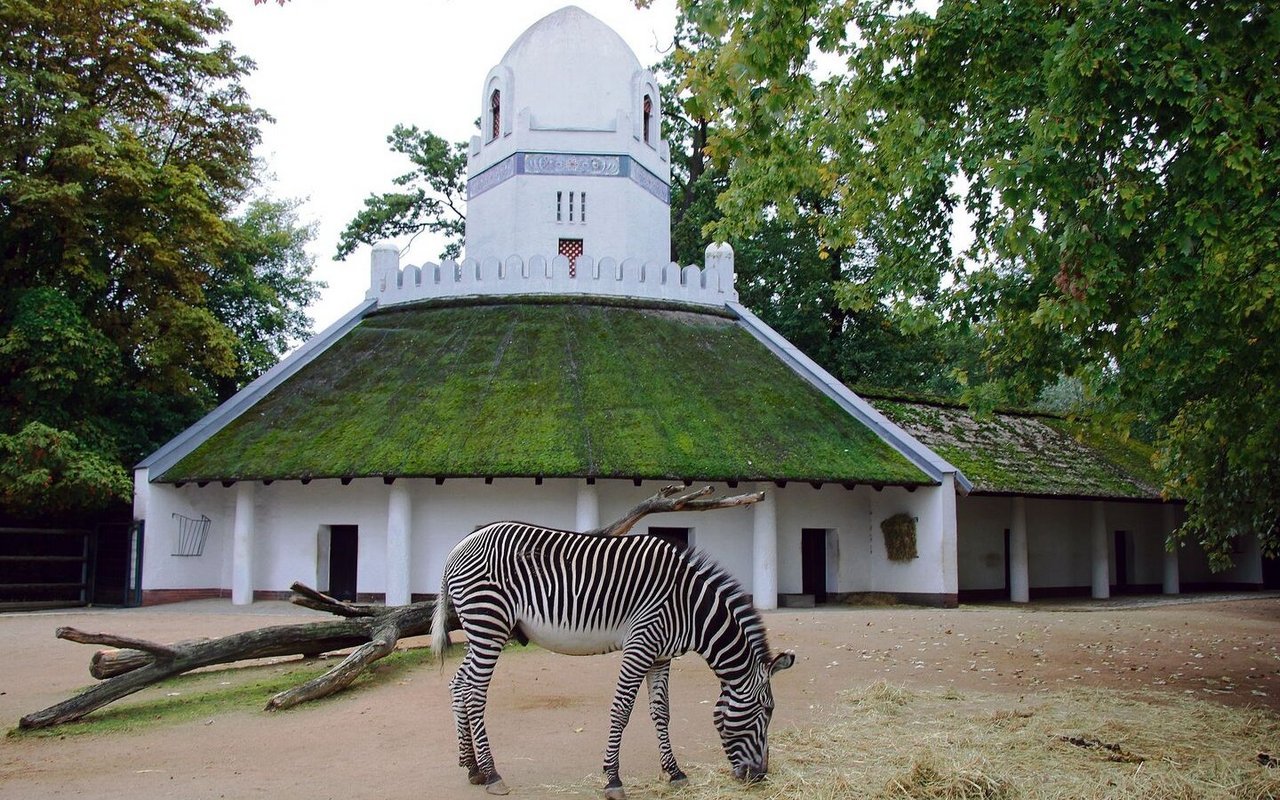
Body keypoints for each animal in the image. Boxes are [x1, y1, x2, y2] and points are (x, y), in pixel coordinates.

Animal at [430, 520, 796, 799]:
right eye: (767, 711)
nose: (760, 776)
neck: (690, 607)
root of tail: (458, 547)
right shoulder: (641, 644)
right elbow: (622, 710)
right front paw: (613, 779)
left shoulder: (661, 656)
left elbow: (661, 713)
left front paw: (674, 772)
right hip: (488, 624)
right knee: (475, 694)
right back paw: (492, 773)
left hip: (483, 631)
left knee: (459, 685)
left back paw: (472, 767)